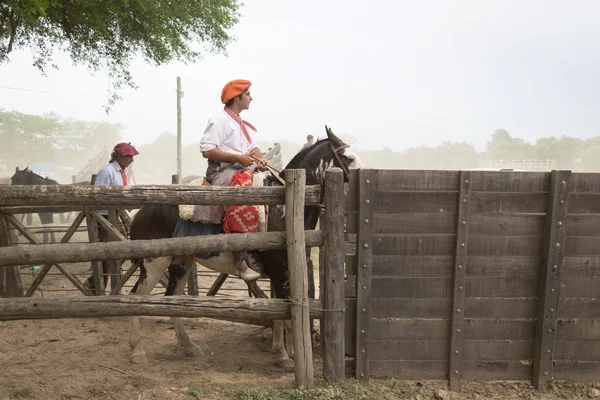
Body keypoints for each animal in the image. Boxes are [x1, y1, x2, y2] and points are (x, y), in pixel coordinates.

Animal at [126, 126, 360, 368]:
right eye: (349, 158)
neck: (283, 210)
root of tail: (141, 212)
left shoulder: (282, 274)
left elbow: (278, 313)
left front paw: (281, 353)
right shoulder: (280, 272)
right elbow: (287, 317)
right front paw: (292, 357)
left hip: (182, 262)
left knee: (172, 299)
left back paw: (189, 347)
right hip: (154, 264)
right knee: (135, 298)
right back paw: (137, 351)